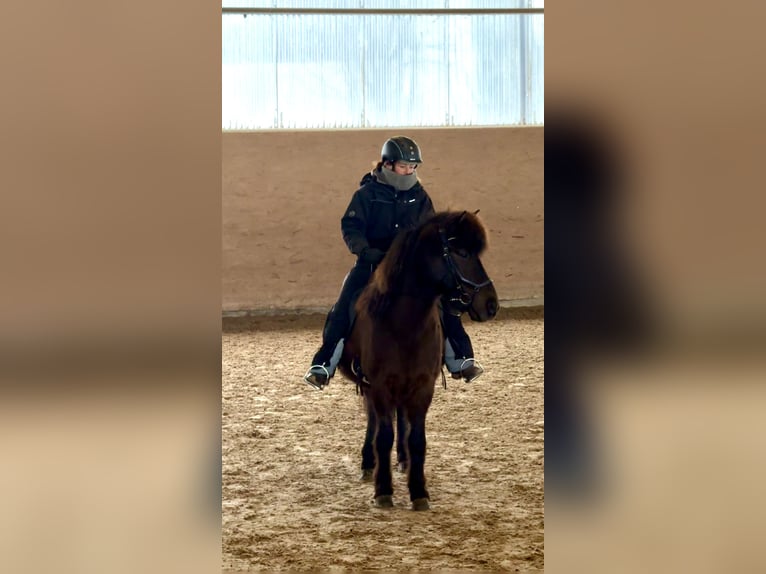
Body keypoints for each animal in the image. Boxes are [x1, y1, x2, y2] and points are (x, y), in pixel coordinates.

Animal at [337, 210, 498, 510]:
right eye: (461, 252)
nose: (491, 304)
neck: (404, 324)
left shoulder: (423, 386)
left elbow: (417, 440)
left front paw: (418, 490)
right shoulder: (379, 386)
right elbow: (383, 437)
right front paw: (383, 490)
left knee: (401, 419)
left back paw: (402, 460)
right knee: (374, 421)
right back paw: (369, 462)